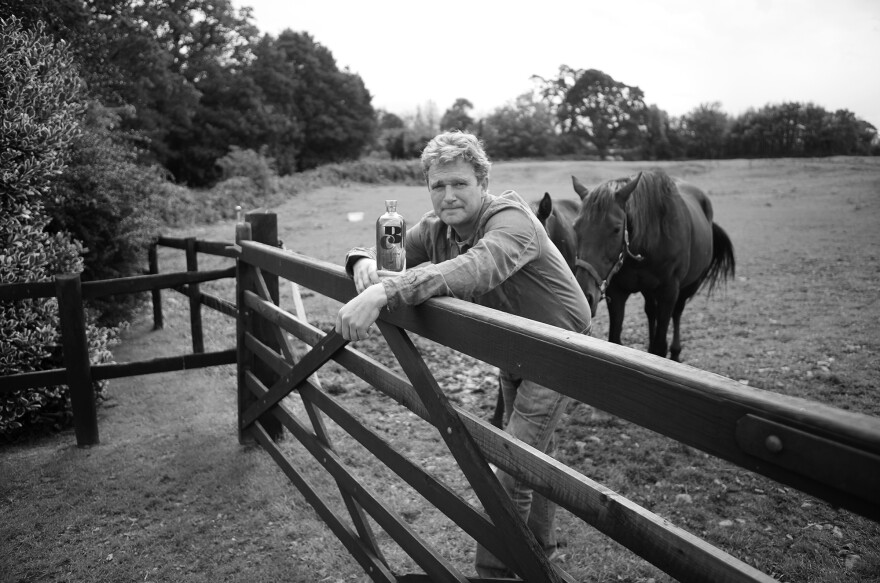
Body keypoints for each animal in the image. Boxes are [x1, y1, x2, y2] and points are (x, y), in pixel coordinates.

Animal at [572, 169, 736, 360]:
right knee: (651, 311)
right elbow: (615, 339)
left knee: (677, 312)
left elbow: (660, 345)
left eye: (616, 229)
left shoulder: (669, 292)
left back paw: (675, 352)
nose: (585, 295)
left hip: (689, 286)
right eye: (575, 227)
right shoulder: (617, 292)